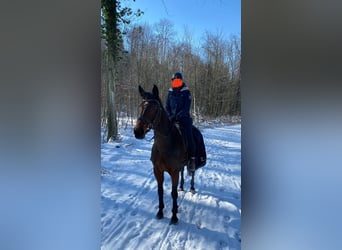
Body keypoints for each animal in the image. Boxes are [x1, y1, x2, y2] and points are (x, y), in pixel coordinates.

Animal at [134, 84, 195, 225]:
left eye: (154, 108)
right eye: (140, 106)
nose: (137, 131)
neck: (165, 146)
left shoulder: (174, 172)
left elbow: (173, 193)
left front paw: (174, 216)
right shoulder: (157, 170)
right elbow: (160, 191)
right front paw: (160, 212)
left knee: (192, 173)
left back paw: (192, 188)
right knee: (183, 174)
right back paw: (182, 186)